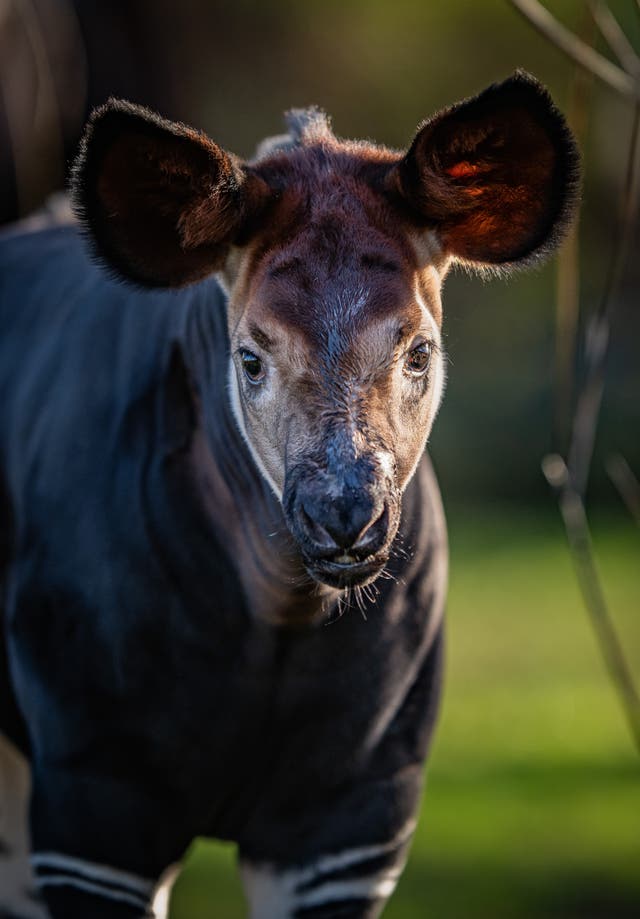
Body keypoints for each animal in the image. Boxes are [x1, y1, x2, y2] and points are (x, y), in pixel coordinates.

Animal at [0, 73, 576, 919]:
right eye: (249, 358)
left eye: (419, 350)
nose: (345, 518)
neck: (277, 615)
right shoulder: (98, 800)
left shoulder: (345, 826)